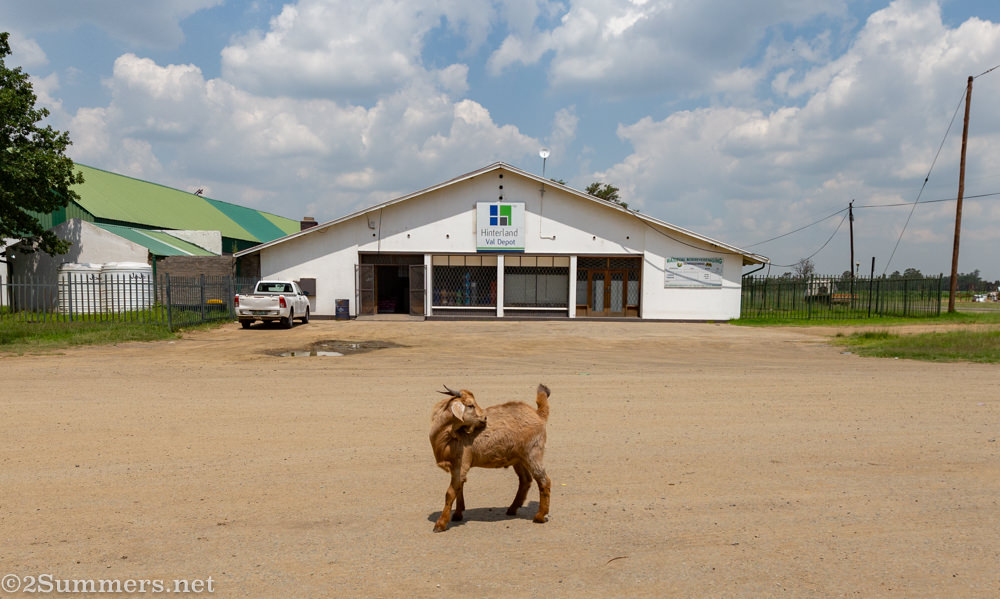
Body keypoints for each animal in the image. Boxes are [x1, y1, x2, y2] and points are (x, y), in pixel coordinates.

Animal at [429, 384, 551, 532]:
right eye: (470, 405)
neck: (447, 438)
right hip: (518, 458)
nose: (484, 418)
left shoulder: (461, 463)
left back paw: (540, 516)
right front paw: (458, 514)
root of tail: (538, 414)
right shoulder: (456, 466)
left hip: (533, 453)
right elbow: (459, 488)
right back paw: (512, 508)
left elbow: (451, 492)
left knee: (544, 480)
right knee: (525, 480)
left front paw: (440, 524)